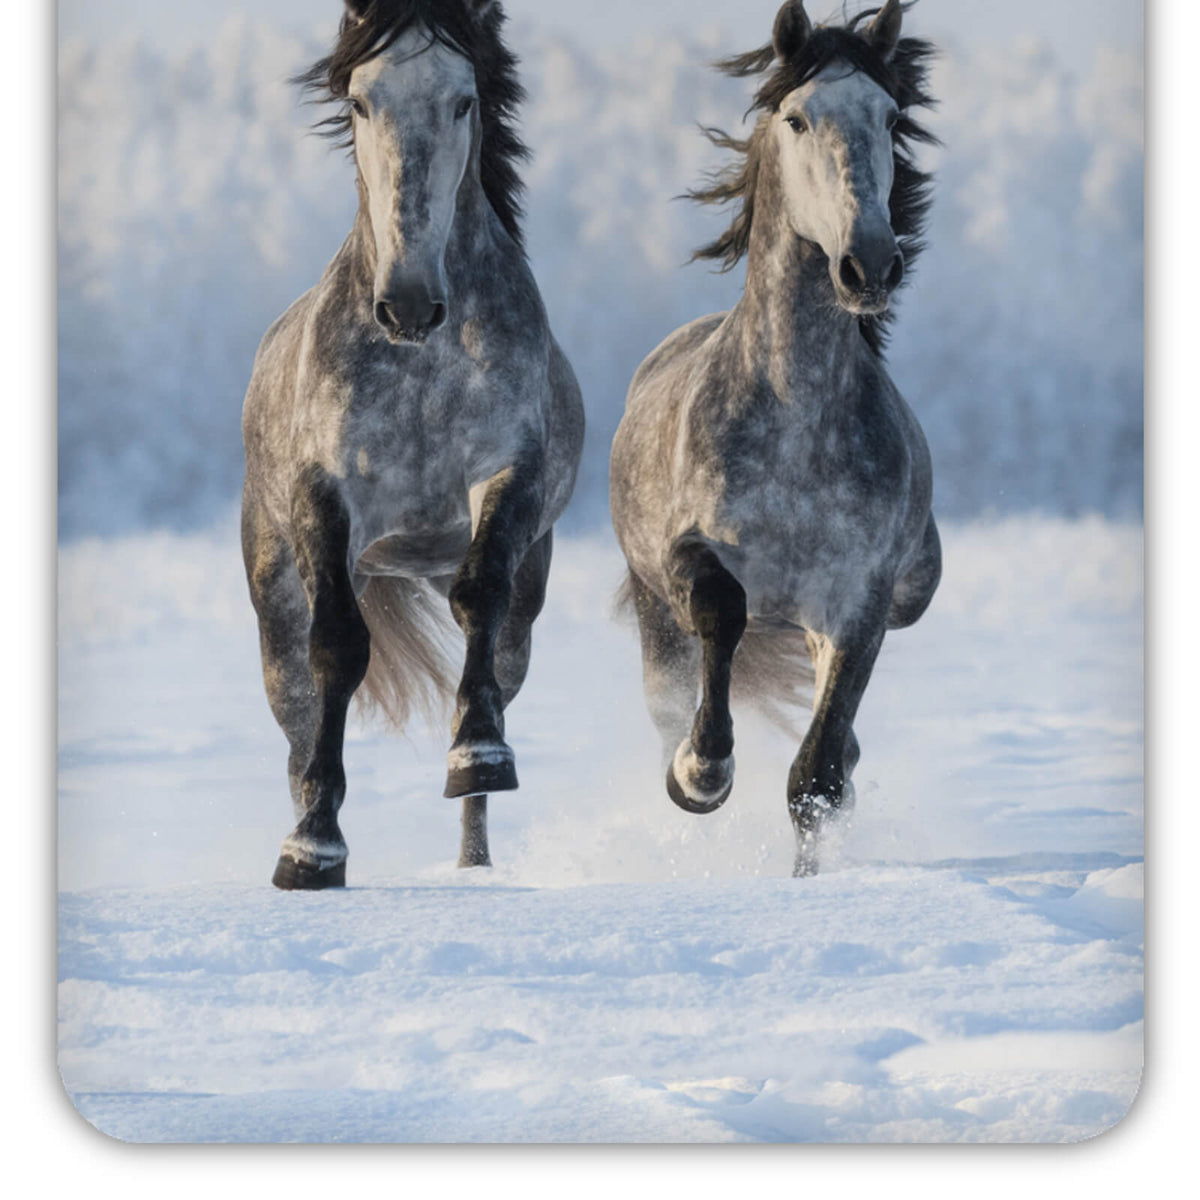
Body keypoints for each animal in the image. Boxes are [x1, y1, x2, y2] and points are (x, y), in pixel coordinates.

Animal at [241, 0, 584, 889]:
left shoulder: (508, 475)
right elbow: (336, 648)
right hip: (275, 591)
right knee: (296, 710)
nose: (407, 303)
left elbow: (479, 596)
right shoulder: (326, 498)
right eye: (362, 101)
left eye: (464, 100)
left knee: (496, 655)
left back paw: (474, 860)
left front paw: (478, 754)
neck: (421, 360)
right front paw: (314, 850)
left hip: (522, 594)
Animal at [610, 0, 941, 878]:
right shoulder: (690, 555)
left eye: (889, 117)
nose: (870, 265)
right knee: (674, 694)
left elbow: (817, 775)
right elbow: (723, 613)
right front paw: (702, 773)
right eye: (797, 118)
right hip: (653, 609)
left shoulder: (858, 603)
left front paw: (806, 881)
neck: (797, 428)